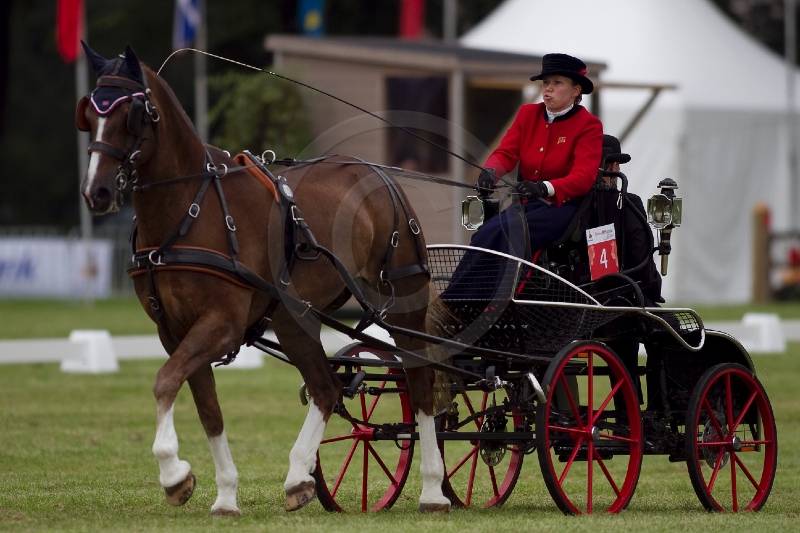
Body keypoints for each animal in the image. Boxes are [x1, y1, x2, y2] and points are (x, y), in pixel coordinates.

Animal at [74, 43, 451, 515]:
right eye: (89, 113)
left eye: (132, 114)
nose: (97, 192)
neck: (189, 208)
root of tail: (379, 175)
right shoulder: (173, 331)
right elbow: (208, 409)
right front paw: (224, 495)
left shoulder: (221, 323)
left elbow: (164, 382)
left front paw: (174, 474)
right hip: (294, 317)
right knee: (326, 387)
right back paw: (299, 478)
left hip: (403, 303)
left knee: (419, 385)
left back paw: (433, 489)